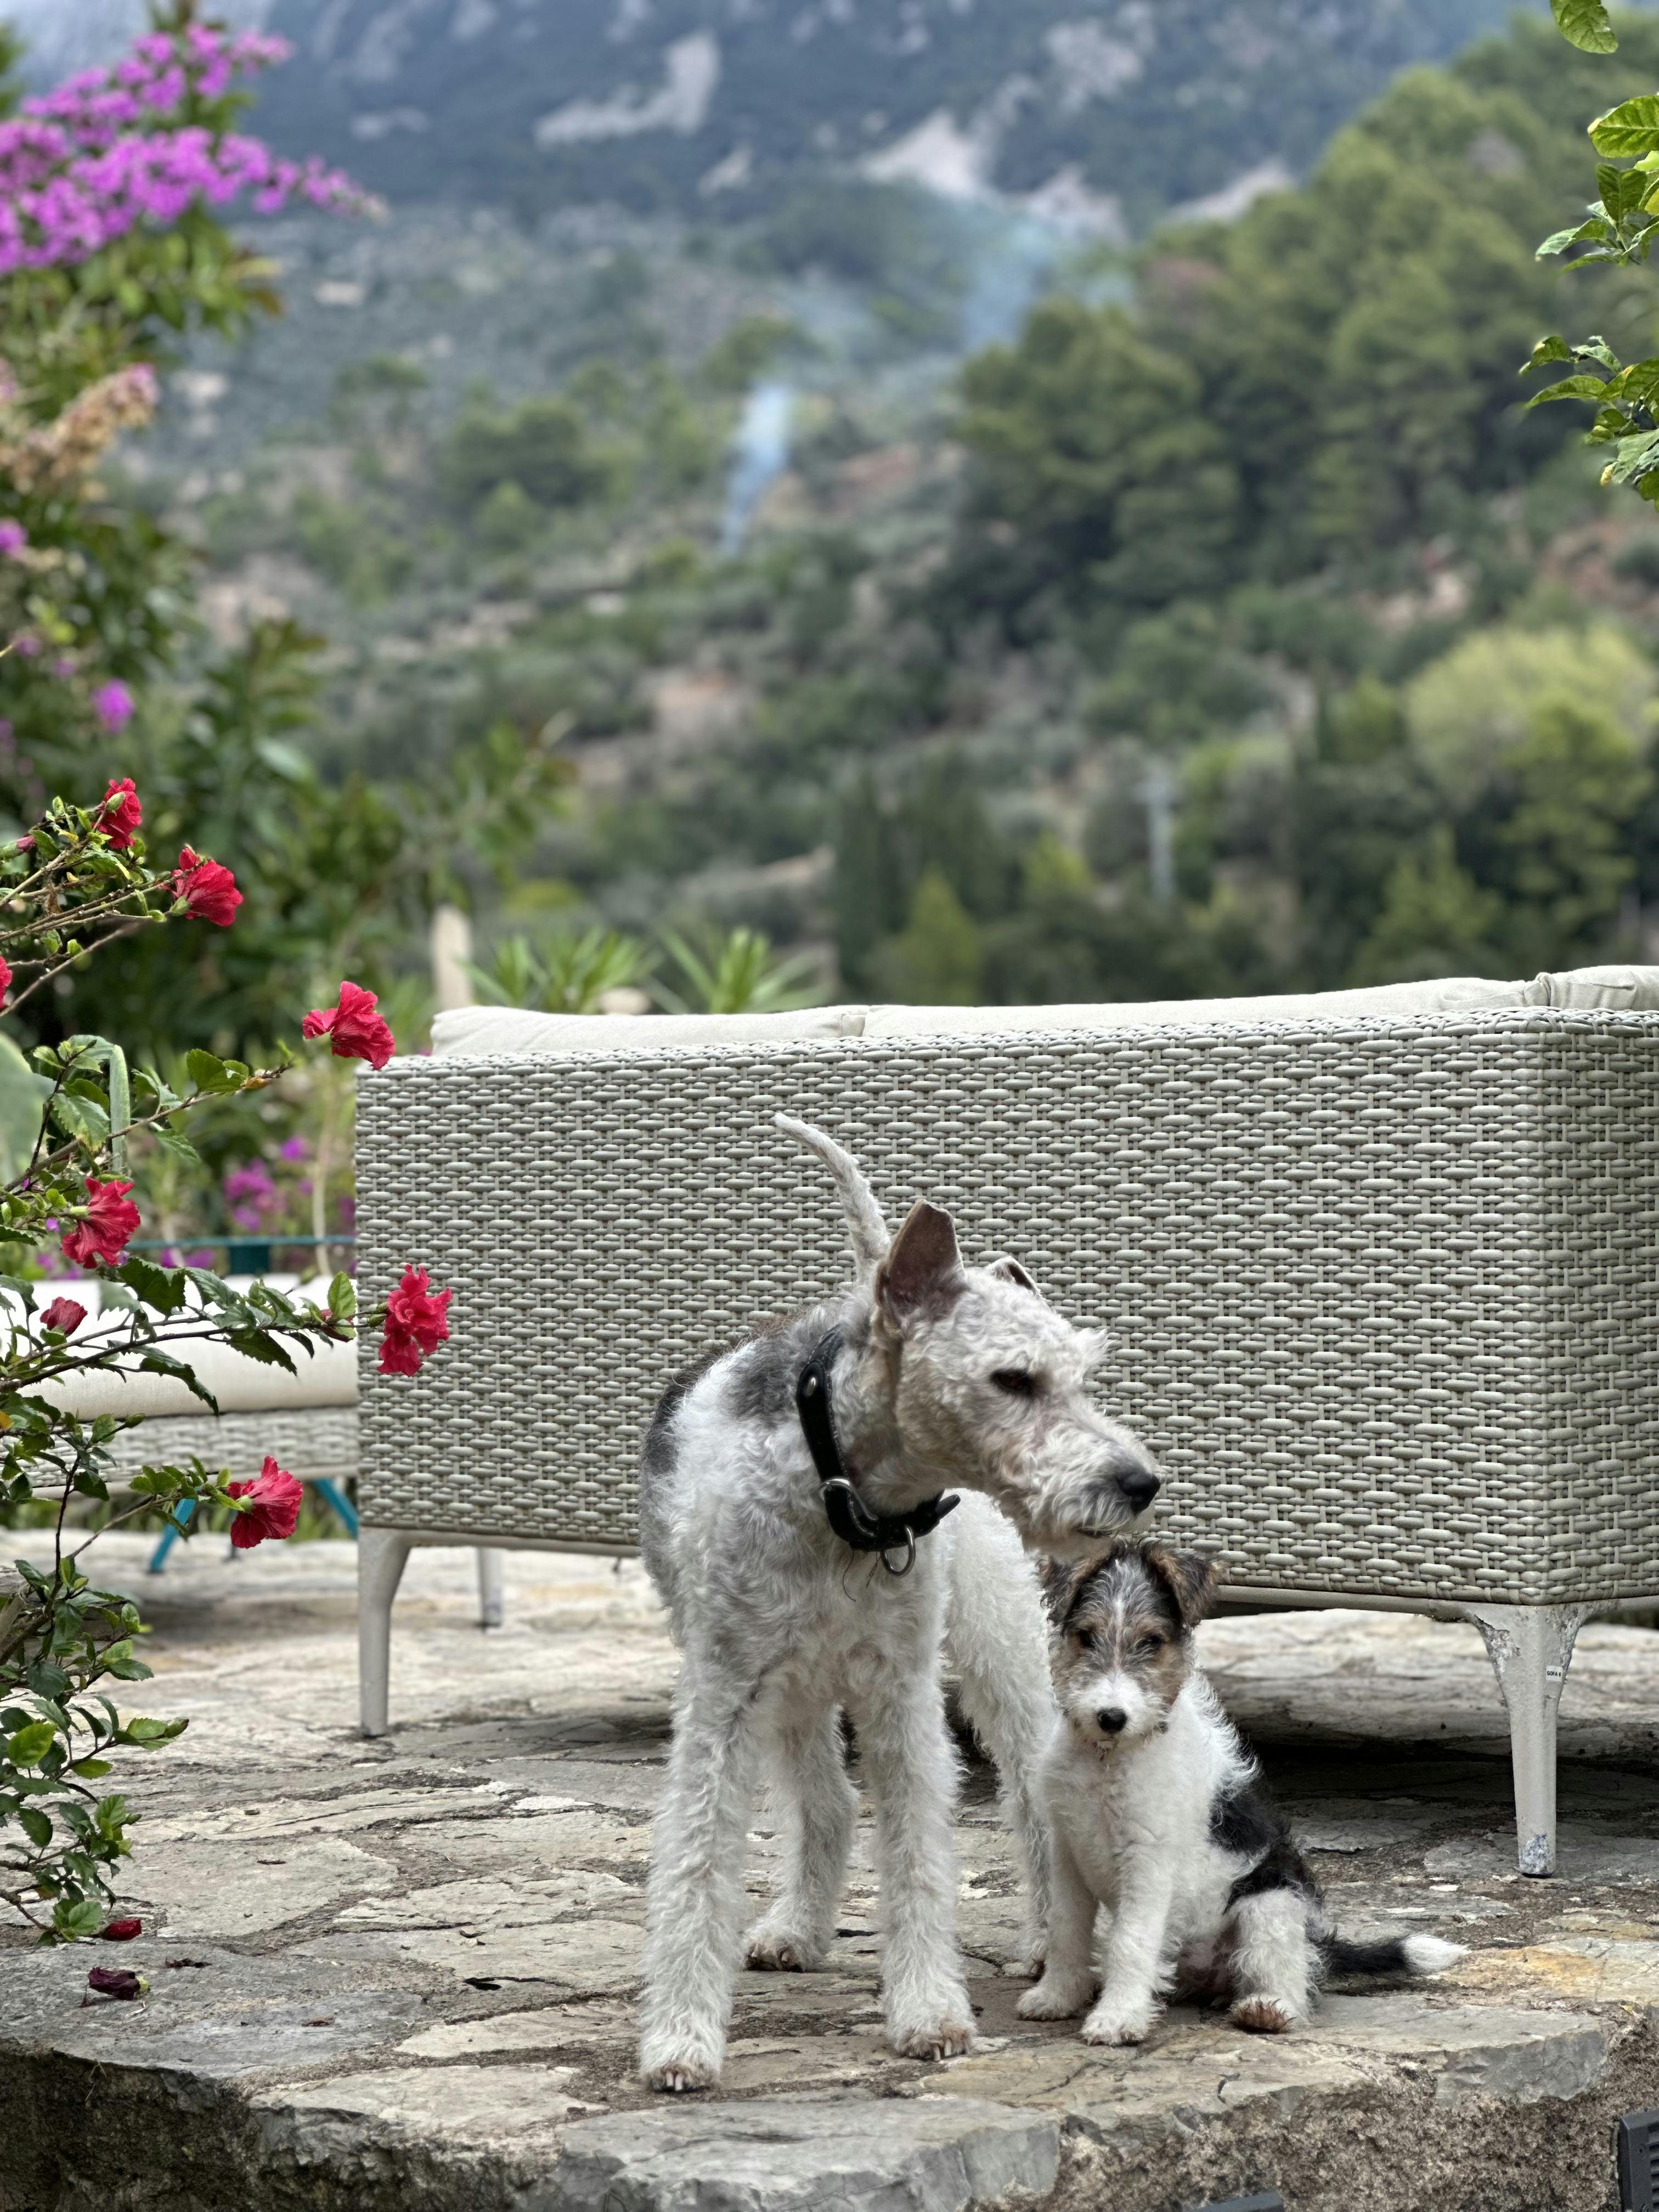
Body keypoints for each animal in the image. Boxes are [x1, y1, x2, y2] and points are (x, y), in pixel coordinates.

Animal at [635, 1115, 1164, 2092]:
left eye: (1080, 1374)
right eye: (1013, 1379)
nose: (1138, 1483)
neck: (842, 1493)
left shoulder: (902, 1695)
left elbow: (920, 1858)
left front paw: (928, 2015)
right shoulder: (724, 1698)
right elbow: (697, 1861)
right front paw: (682, 2040)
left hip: (996, 1650)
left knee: (1029, 1797)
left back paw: (1047, 1942)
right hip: (792, 1687)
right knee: (828, 1802)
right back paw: (797, 1930)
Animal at [1018, 1542, 1465, 2043]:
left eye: (1152, 1641)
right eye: (1086, 1636)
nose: (1111, 1717)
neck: (1108, 1759)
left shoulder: (1147, 1859)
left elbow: (1130, 1942)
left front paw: (1117, 2018)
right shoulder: (1066, 1849)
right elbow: (1065, 1930)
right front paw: (1057, 1997)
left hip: (1270, 1904)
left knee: (1290, 1980)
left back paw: (1266, 2010)